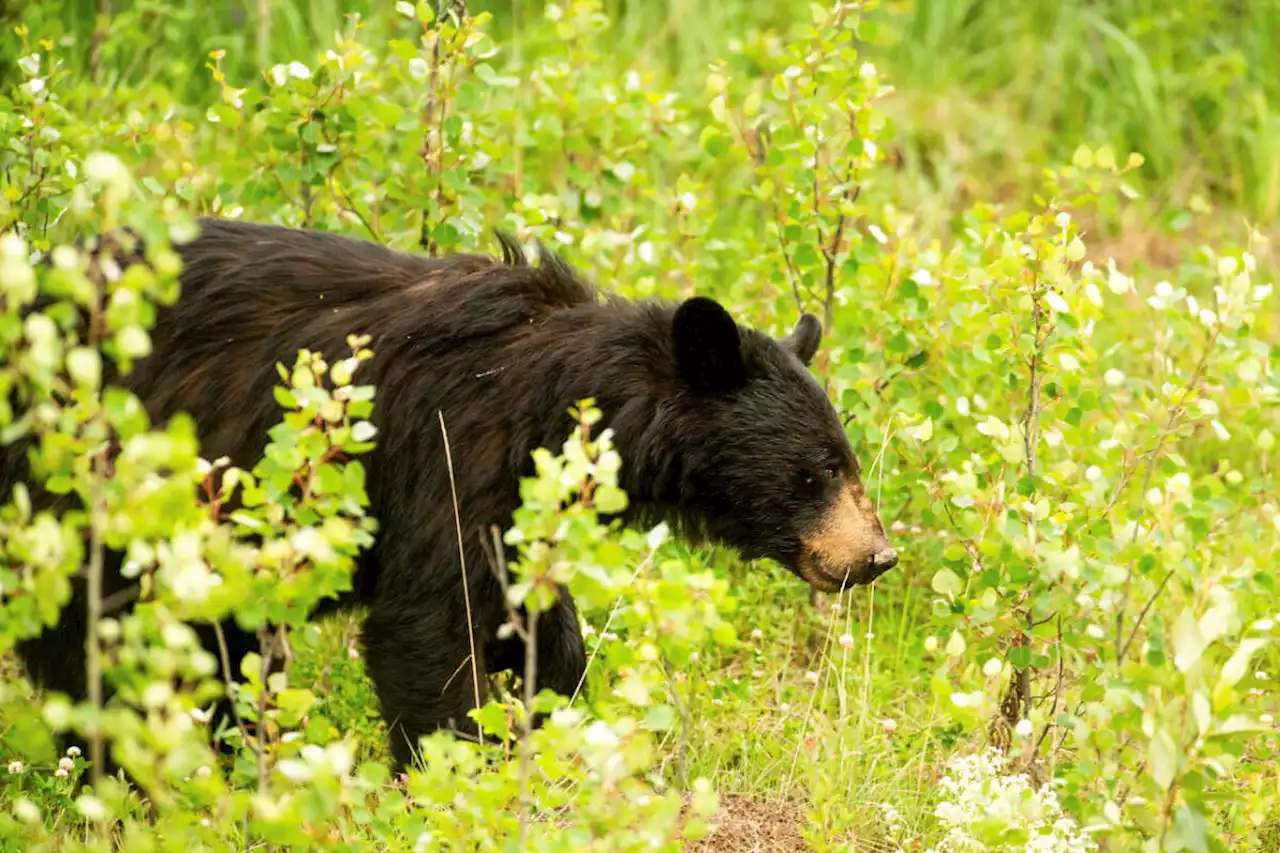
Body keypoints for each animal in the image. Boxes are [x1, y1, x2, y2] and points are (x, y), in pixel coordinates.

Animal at [7, 216, 901, 768]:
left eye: (846, 460)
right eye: (819, 469)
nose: (877, 556)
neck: (560, 399)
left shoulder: (518, 500)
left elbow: (534, 613)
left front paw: (552, 700)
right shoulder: (451, 449)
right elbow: (427, 627)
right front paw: (459, 768)